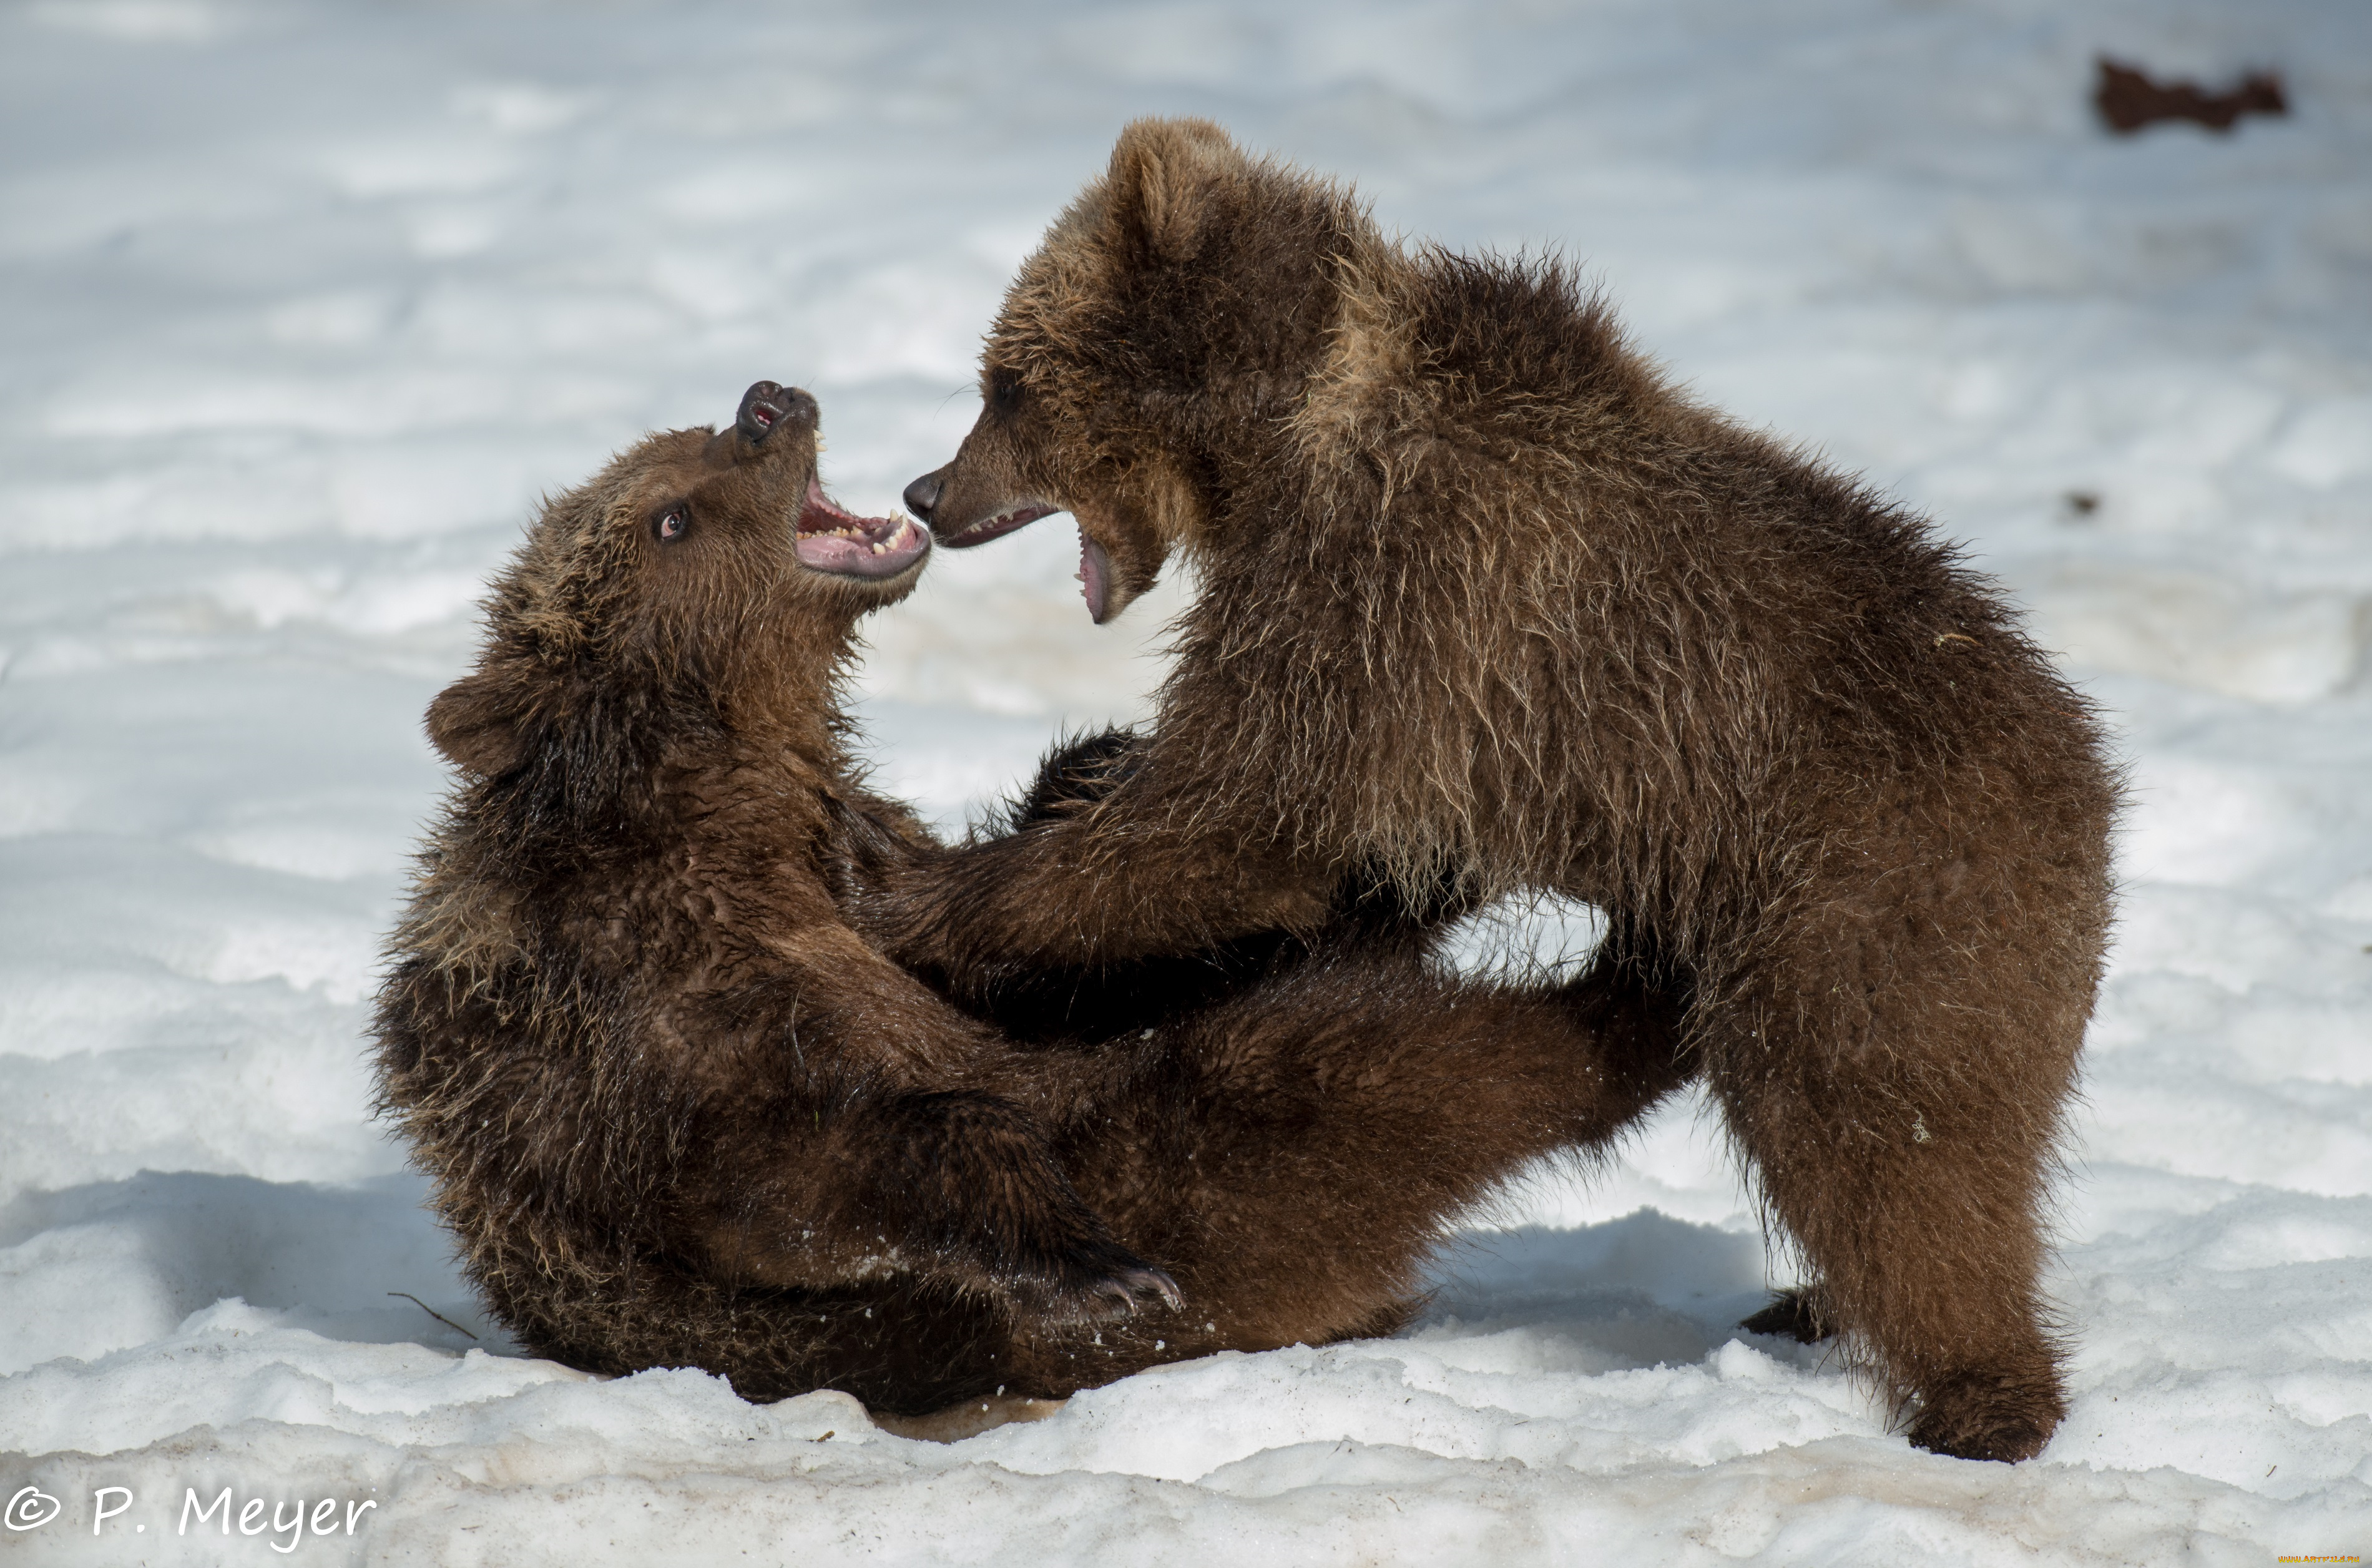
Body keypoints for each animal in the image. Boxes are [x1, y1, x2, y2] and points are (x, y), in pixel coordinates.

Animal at [370, 381, 1679, 1423]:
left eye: (681, 445)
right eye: (667, 514)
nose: (765, 404)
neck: (732, 785)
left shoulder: (861, 872)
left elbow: (1032, 952)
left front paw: (1095, 769)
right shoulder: (642, 1025)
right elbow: (806, 1173)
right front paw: (1094, 1263)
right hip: (1211, 1183)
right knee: (1381, 1065)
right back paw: (1629, 992)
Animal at [882, 116, 2125, 1461]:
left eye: (1005, 380)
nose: (925, 491)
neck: (1280, 439)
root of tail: (2089, 778)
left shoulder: (1389, 584)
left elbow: (1239, 811)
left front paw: (924, 891)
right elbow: (1315, 858)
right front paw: (1069, 788)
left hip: (1872, 892)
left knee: (1885, 1140)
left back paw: (1978, 1397)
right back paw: (1817, 1307)